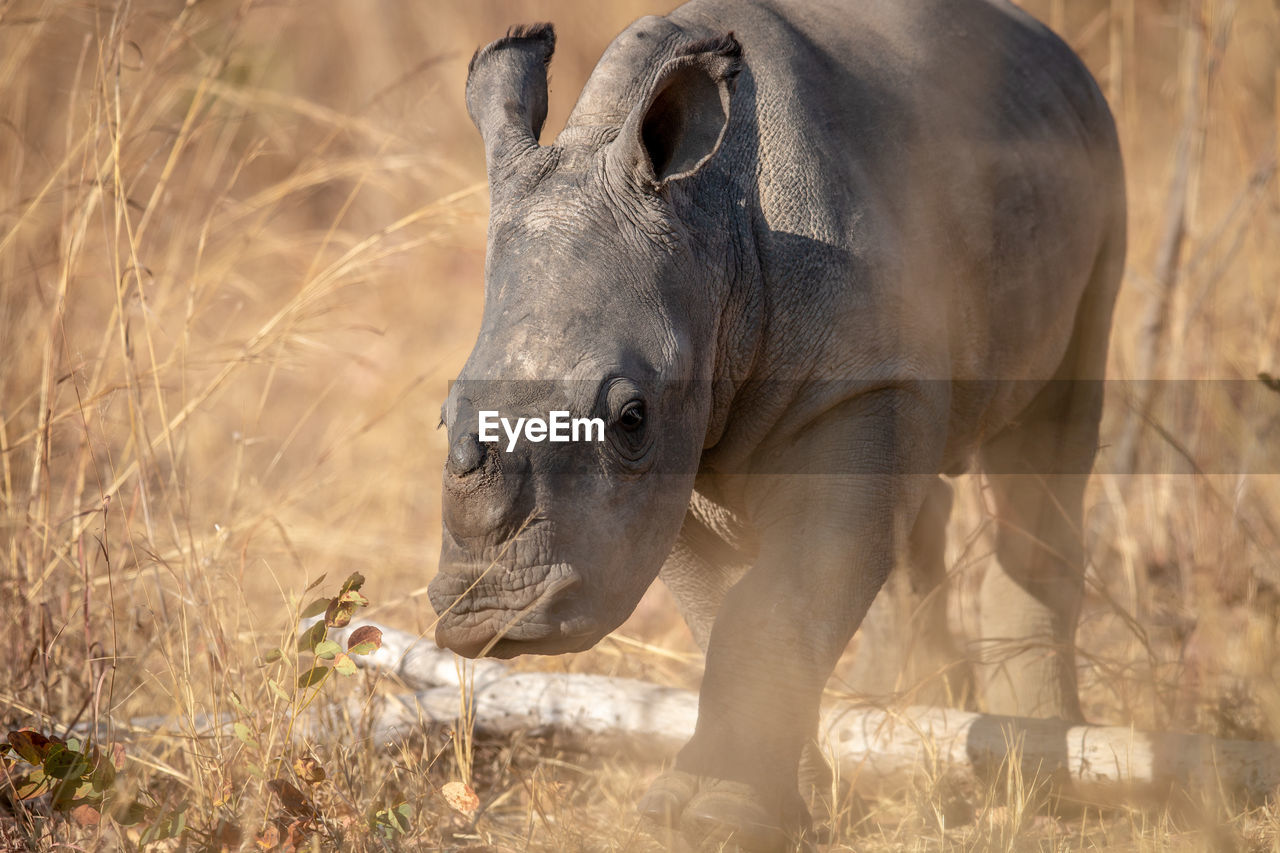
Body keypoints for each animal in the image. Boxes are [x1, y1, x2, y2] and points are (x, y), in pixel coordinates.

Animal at [427, 0, 1121, 845]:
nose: (490, 616)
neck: (708, 226)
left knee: (1048, 439)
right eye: (443, 416)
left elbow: (778, 600)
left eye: (630, 418)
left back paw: (1042, 774)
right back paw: (911, 712)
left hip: (1100, 164)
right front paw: (782, 803)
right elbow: (728, 610)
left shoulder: (848, 385)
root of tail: (1050, 43)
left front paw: (724, 815)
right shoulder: (680, 457)